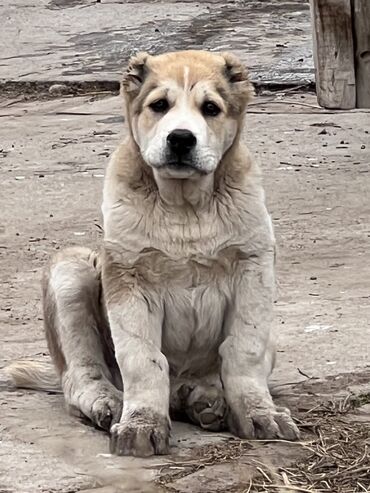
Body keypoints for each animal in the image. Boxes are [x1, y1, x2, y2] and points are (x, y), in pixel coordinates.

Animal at [7, 51, 300, 458]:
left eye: (211, 109)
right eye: (159, 105)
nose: (181, 139)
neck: (186, 209)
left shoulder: (252, 268)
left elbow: (245, 350)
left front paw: (259, 412)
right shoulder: (129, 278)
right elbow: (143, 360)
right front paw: (141, 423)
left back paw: (205, 398)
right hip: (72, 271)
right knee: (81, 375)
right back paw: (108, 401)